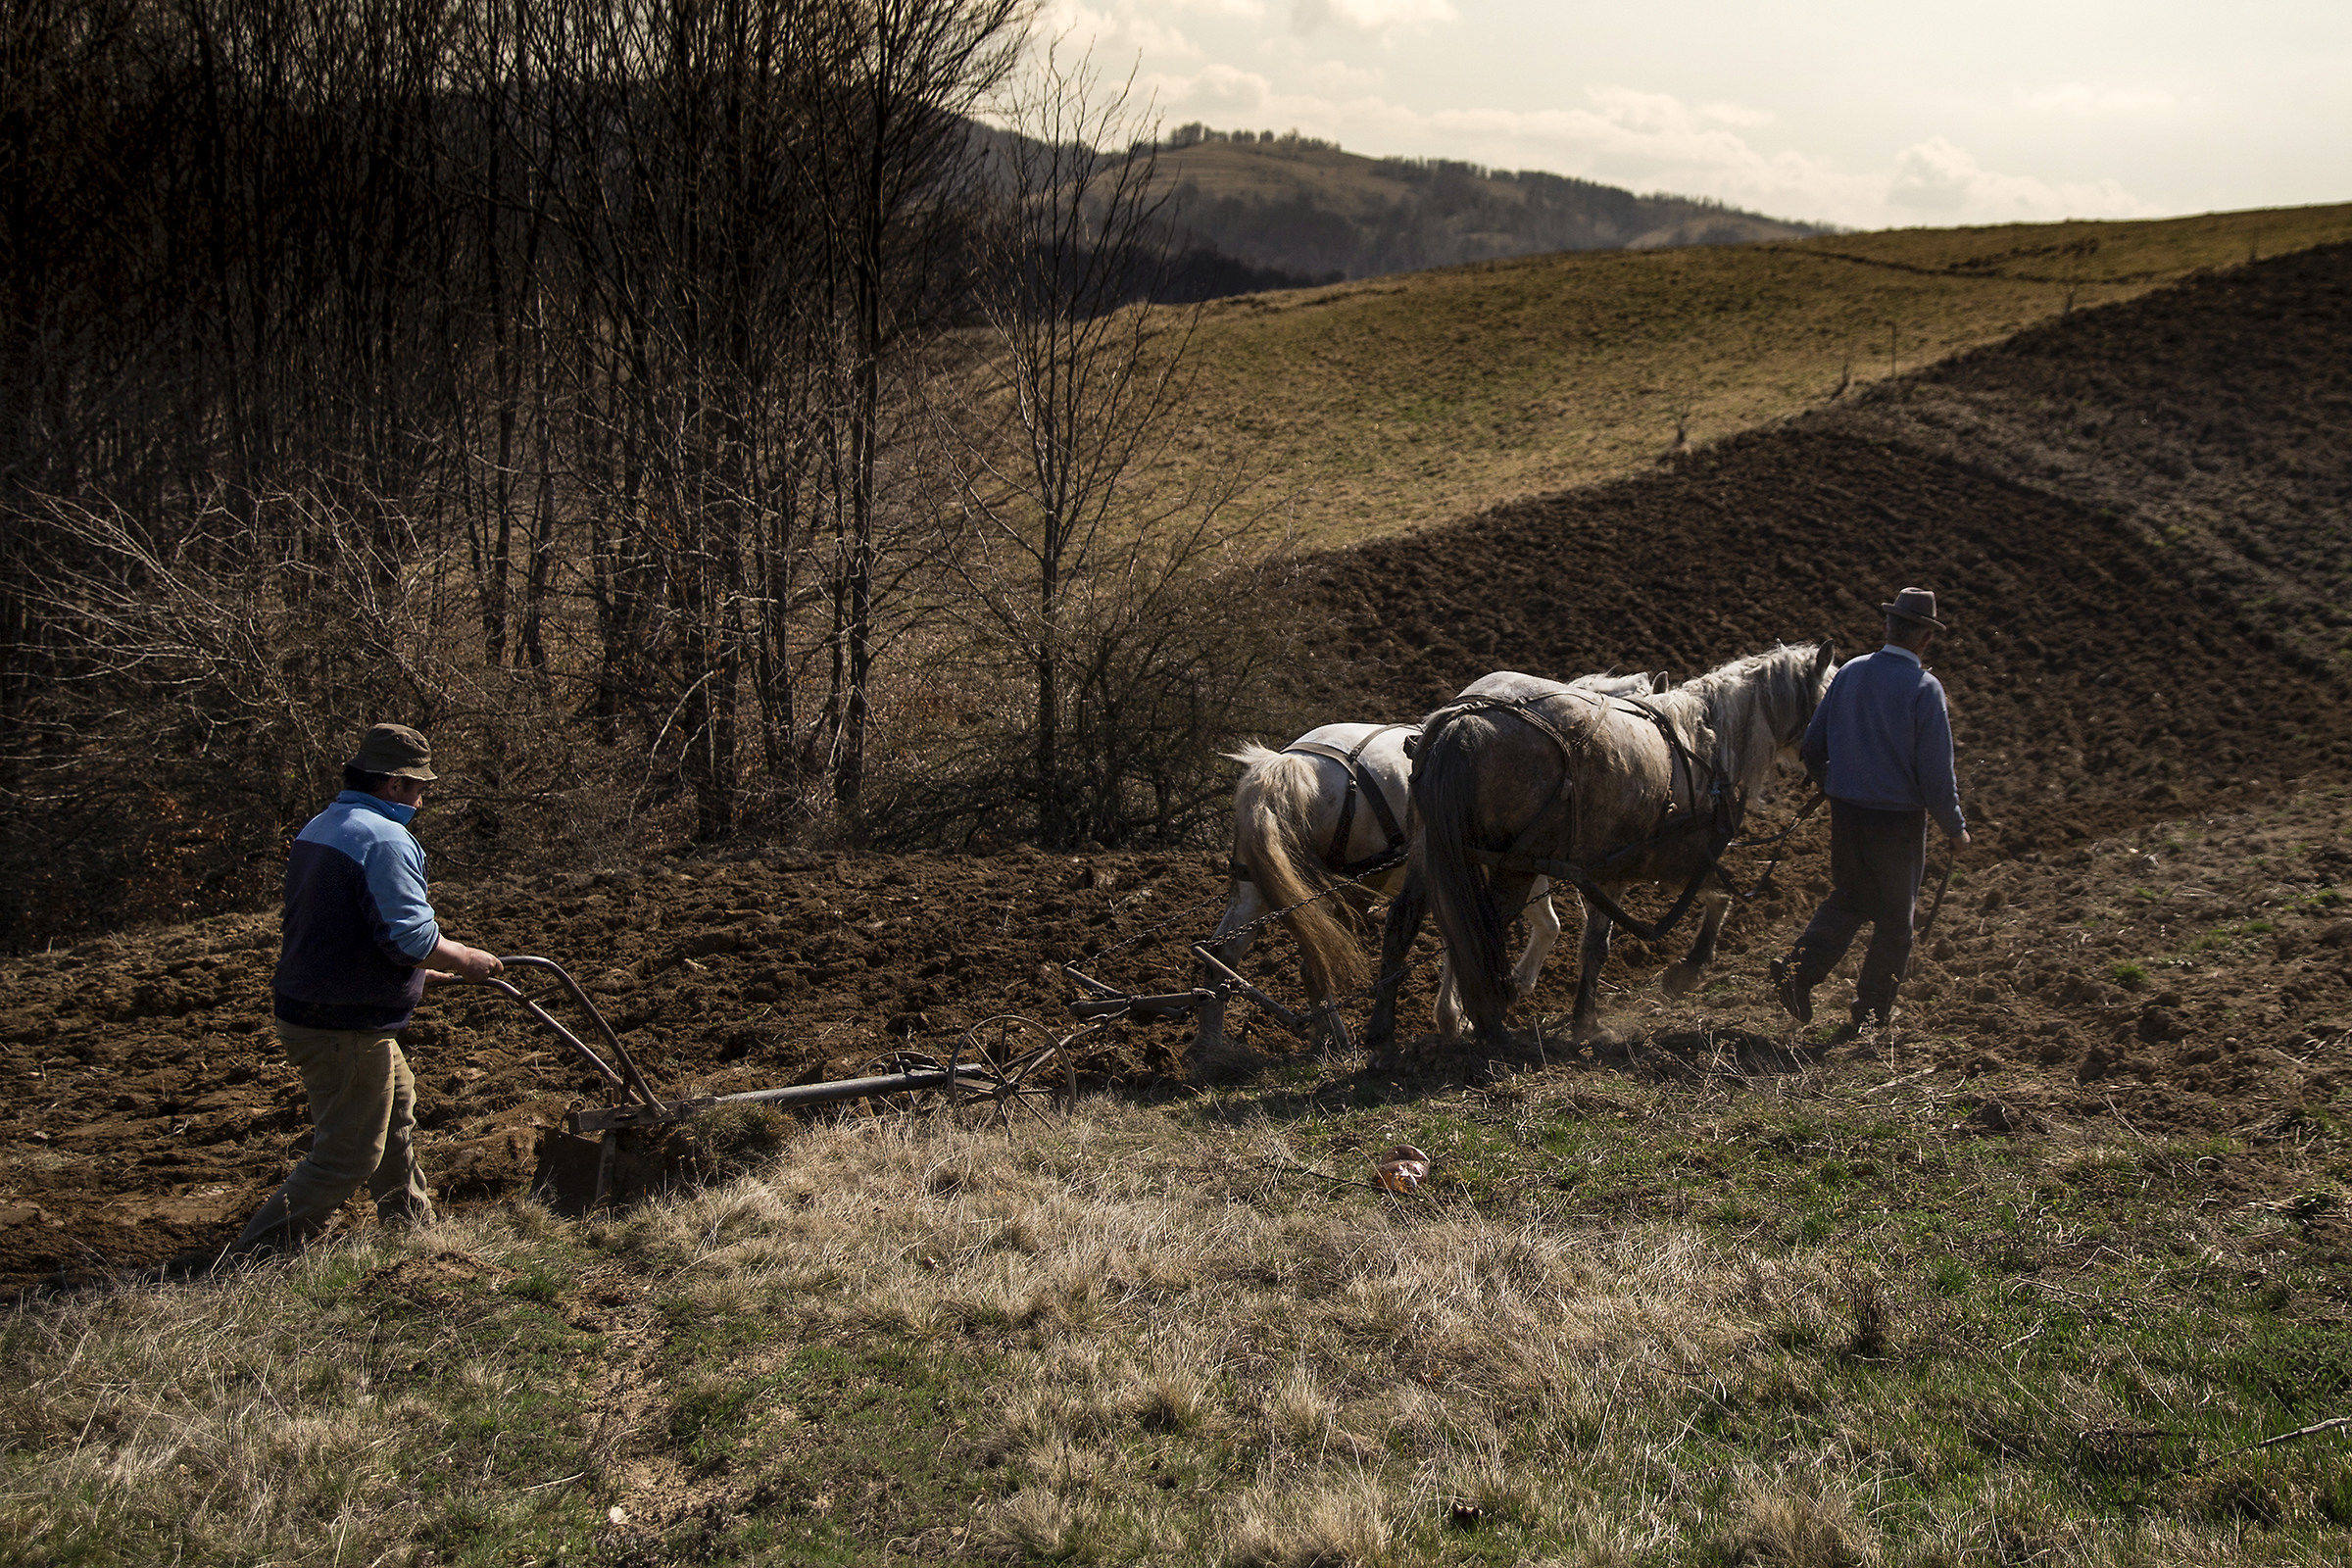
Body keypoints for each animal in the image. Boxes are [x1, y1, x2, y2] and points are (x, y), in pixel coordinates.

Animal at [1195, 667, 1674, 1071]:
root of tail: (1288, 764)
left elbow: (1497, 932)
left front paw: (1472, 1006)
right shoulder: (1512, 863)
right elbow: (1528, 927)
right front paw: (1470, 1008)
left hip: (1258, 888)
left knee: (1224, 956)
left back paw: (1214, 1047)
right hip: (1347, 889)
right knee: (1315, 963)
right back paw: (1336, 1039)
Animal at [1364, 644, 1835, 1062]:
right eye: (1830, 694)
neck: (1710, 743)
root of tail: (1464, 721)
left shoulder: (1607, 871)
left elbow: (1598, 943)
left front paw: (1584, 1018)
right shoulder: (1668, 862)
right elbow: (1714, 899)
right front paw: (1685, 970)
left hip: (1429, 850)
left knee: (1404, 925)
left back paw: (1385, 1035)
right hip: (1510, 867)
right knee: (1481, 930)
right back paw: (1490, 1025)